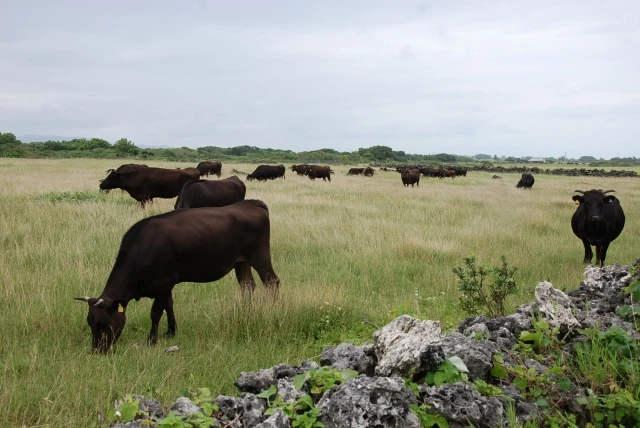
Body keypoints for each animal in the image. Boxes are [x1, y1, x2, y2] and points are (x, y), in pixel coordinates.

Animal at [74, 199, 278, 352]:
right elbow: (169, 306)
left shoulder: (164, 282)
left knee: (272, 281)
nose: (97, 350)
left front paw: (152, 340)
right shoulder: (166, 284)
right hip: (241, 262)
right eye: (90, 322)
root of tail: (250, 203)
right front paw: (171, 331)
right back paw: (247, 312)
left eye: (103, 323)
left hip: (259, 255)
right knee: (248, 285)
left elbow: (156, 312)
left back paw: (272, 310)